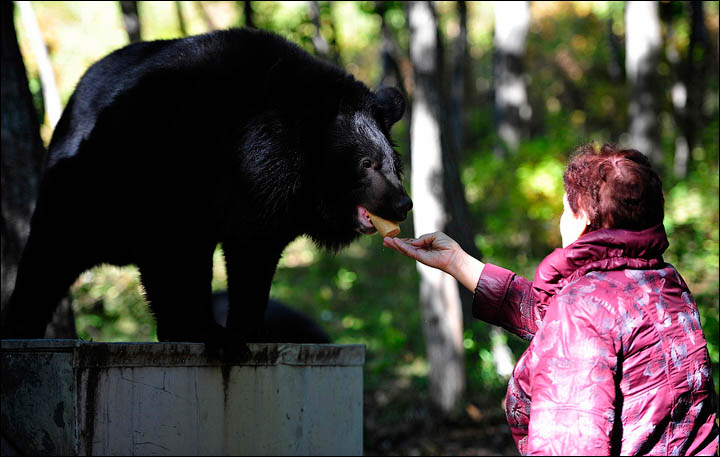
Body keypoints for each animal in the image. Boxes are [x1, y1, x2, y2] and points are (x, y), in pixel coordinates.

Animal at [2, 27, 410, 346]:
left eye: (395, 165)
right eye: (366, 164)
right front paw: (201, 331)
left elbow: (253, 257)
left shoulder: (267, 206)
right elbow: (169, 251)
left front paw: (248, 330)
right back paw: (22, 328)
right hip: (84, 188)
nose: (403, 204)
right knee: (49, 254)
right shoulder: (166, 165)